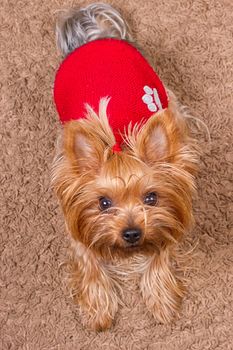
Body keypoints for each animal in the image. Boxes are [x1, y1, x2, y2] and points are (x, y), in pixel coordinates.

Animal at [52, 3, 199, 330]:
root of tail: (96, 37)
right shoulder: (76, 224)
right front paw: (98, 311)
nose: (132, 233)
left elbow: (160, 253)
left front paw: (162, 301)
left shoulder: (167, 220)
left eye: (151, 198)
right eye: (103, 203)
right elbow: (89, 260)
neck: (119, 141)